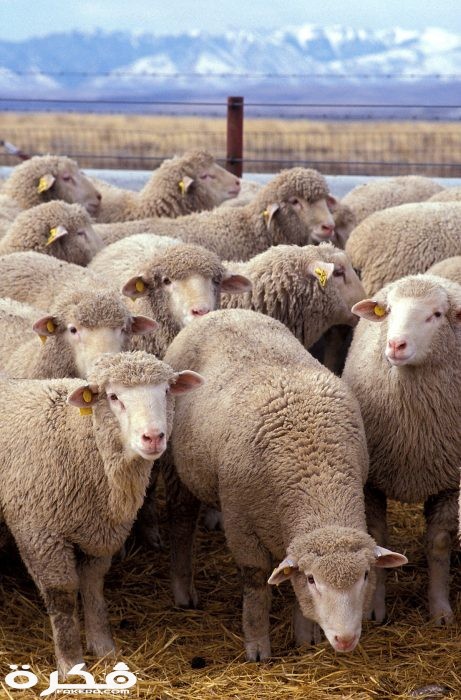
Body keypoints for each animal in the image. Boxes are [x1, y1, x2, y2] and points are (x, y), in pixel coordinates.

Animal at [0, 350, 203, 675]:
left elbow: (93, 586)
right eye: (113, 396)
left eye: (166, 391)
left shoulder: (99, 530)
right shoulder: (39, 532)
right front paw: (71, 662)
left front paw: (103, 648)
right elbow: (62, 596)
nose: (153, 437)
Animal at [161, 309, 406, 660]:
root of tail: (223, 311)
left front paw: (305, 637)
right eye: (314, 579)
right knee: (181, 523)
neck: (317, 478)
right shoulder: (241, 525)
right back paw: (183, 591)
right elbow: (255, 585)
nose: (345, 640)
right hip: (177, 468)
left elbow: (290, 581)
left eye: (364, 575)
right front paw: (257, 645)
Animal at [342, 274, 461, 625]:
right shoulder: (371, 482)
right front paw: (374, 608)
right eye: (390, 310)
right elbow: (377, 539)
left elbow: (439, 544)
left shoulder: (449, 482)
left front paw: (440, 609)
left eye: (436, 314)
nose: (396, 345)